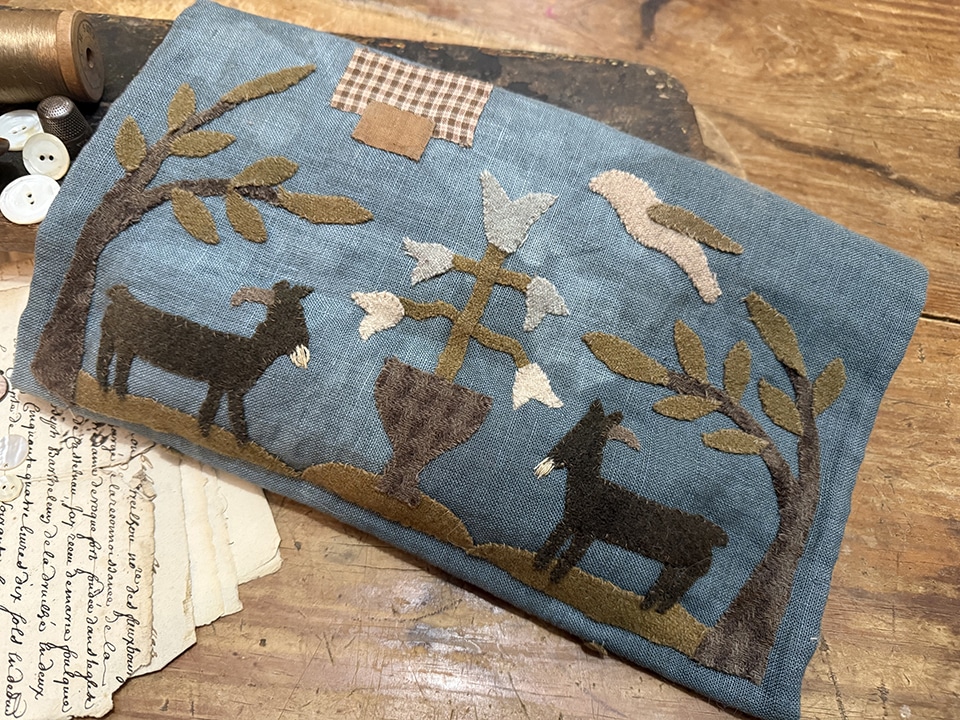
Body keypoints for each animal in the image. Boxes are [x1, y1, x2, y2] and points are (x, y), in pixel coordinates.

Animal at [97, 280, 313, 443]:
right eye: (288, 319)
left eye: (300, 313)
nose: (304, 339)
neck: (251, 350)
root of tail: (119, 294)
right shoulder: (225, 385)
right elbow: (221, 413)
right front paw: (224, 438)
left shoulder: (225, 387)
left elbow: (221, 413)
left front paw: (220, 437)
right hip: (109, 337)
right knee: (104, 359)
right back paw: (105, 389)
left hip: (125, 347)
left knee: (121, 367)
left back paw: (117, 395)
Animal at [533, 399, 728, 613]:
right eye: (573, 430)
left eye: (584, 438)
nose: (550, 459)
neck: (590, 486)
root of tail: (715, 534)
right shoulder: (569, 521)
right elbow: (552, 545)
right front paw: (538, 568)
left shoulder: (588, 532)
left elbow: (568, 558)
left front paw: (553, 580)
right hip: (673, 562)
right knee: (666, 580)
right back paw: (649, 607)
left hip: (693, 564)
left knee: (687, 580)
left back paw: (660, 609)